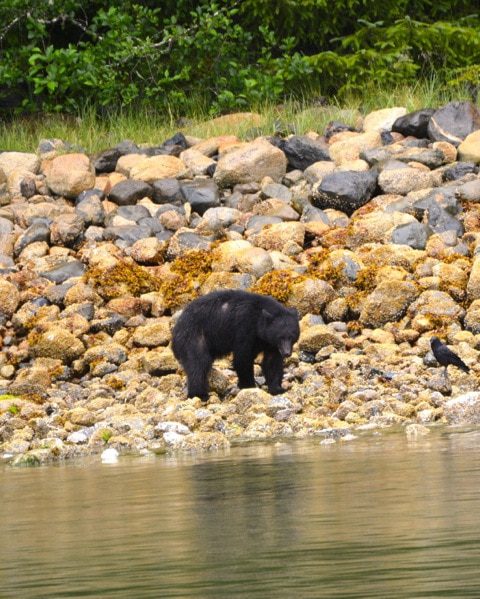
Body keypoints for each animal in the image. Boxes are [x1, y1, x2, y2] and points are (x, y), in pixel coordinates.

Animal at [172, 288, 300, 400]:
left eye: (292, 336)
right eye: (280, 337)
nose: (287, 353)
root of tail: (176, 329)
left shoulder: (271, 344)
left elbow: (272, 362)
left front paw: (277, 389)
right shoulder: (244, 328)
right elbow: (243, 357)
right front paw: (249, 385)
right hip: (195, 337)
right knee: (198, 363)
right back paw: (199, 394)